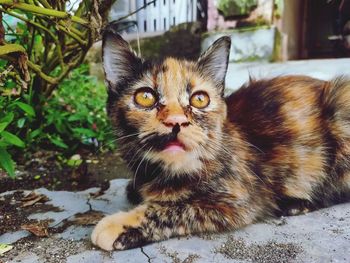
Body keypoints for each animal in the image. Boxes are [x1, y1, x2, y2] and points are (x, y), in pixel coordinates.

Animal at [91, 25, 350, 252]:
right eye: (145, 97)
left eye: (199, 99)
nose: (176, 121)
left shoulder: (239, 201)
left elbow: (176, 208)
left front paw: (119, 225)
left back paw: (295, 203)